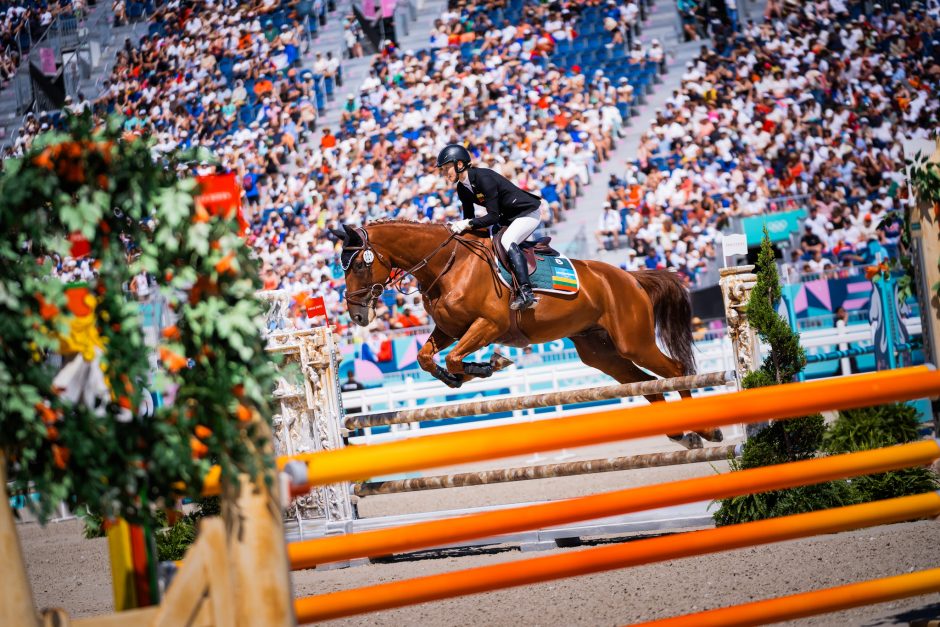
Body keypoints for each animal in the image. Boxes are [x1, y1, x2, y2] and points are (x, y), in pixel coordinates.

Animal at [334, 221, 724, 446]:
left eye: (357, 265)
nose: (357, 315)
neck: (446, 264)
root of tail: (630, 277)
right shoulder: (449, 328)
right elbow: (426, 358)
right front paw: (459, 378)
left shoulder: (488, 325)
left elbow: (457, 357)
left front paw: (489, 365)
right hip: (600, 352)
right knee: (644, 384)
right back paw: (681, 434)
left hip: (634, 341)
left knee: (674, 371)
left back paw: (707, 430)